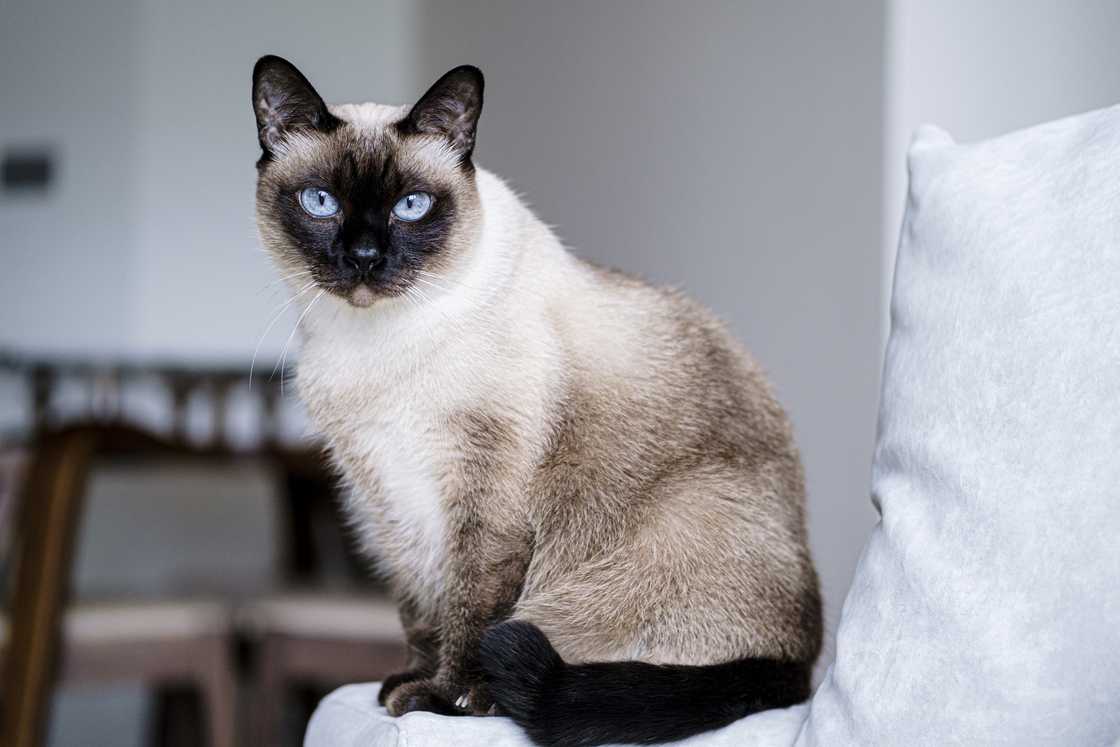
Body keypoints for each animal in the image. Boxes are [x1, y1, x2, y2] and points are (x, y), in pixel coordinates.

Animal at [249, 55, 819, 743]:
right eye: (321, 202)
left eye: (411, 206)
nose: (363, 258)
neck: (374, 347)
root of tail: (803, 665)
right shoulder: (386, 496)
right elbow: (421, 609)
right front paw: (406, 686)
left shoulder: (485, 497)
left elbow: (471, 610)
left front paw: (445, 702)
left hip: (662, 533)